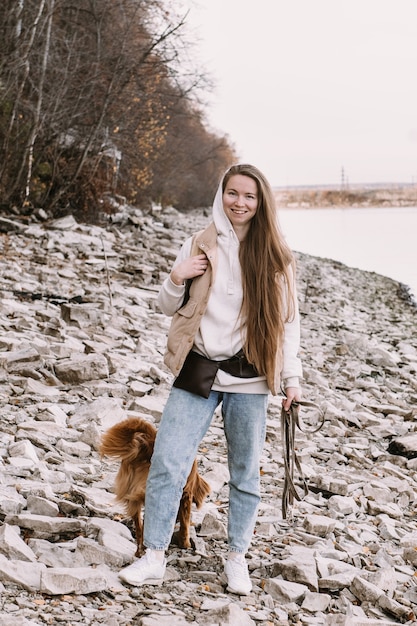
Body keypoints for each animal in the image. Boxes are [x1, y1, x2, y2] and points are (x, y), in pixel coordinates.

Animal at [99, 416, 210, 552]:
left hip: (132, 495)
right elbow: (185, 522)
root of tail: (148, 444)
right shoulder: (186, 495)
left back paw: (140, 550)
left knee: (139, 526)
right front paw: (185, 544)